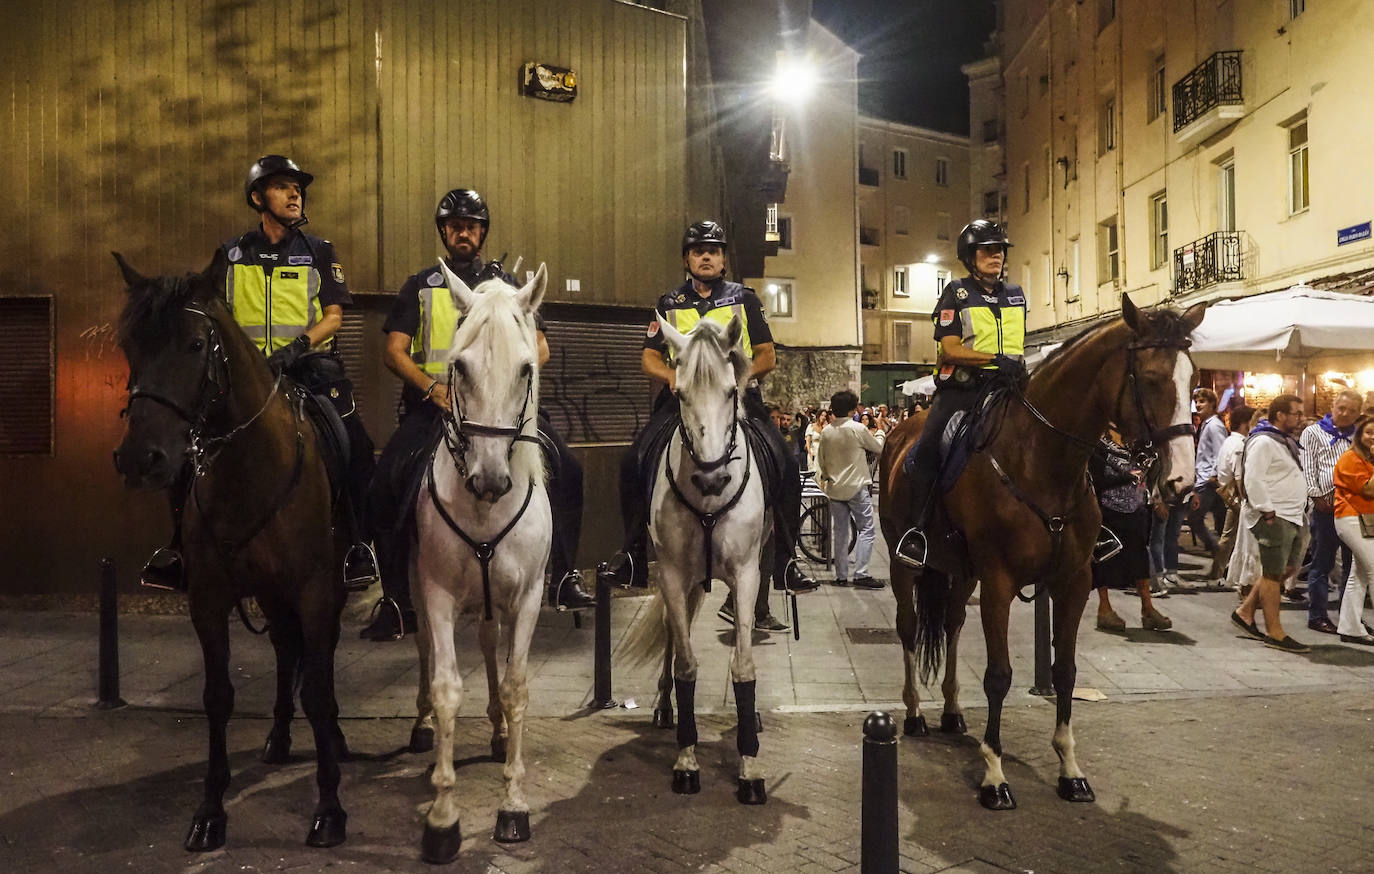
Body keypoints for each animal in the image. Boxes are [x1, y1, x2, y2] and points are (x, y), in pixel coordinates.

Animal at [113, 248, 351, 852]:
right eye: (130, 347)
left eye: (196, 345)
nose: (141, 459)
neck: (251, 468)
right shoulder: (210, 598)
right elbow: (217, 697)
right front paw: (209, 812)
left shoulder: (315, 590)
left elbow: (318, 689)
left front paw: (329, 809)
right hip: (269, 593)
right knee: (287, 650)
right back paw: (279, 738)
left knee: (316, 659)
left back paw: (333, 738)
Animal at [623, 311, 774, 808]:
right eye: (680, 394)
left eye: (730, 392)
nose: (712, 480)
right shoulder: (671, 575)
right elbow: (686, 662)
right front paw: (686, 761)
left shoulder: (746, 575)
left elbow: (743, 666)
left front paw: (750, 765)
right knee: (676, 634)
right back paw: (663, 707)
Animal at [879, 295, 1203, 813]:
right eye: (1151, 378)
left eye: (1194, 379)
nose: (1182, 481)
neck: (1040, 459)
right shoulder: (998, 583)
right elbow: (998, 675)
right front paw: (994, 775)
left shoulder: (1073, 582)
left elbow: (1065, 672)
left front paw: (1070, 770)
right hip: (902, 562)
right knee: (908, 629)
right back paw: (913, 713)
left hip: (961, 573)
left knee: (950, 624)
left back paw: (951, 709)